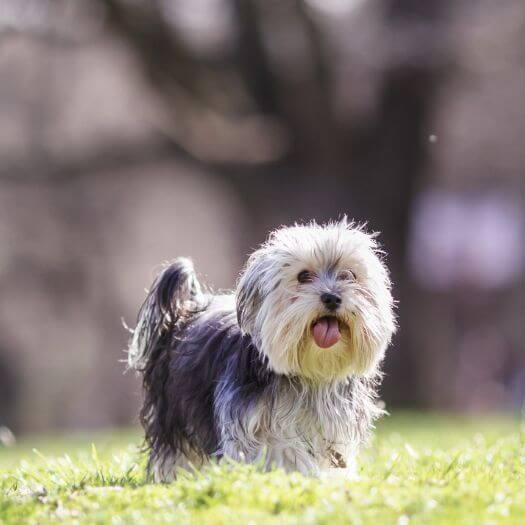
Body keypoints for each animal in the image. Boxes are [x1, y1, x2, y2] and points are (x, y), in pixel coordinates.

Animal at [129, 219, 396, 482]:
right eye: (303, 276)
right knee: (175, 449)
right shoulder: (252, 424)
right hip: (172, 411)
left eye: (349, 275)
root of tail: (186, 310)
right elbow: (282, 451)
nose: (331, 297)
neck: (311, 376)